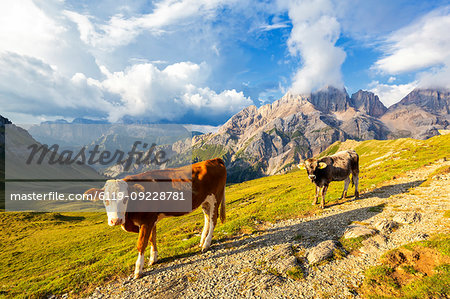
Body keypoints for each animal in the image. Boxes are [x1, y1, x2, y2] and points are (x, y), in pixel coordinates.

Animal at [84, 159, 227, 278]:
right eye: (105, 200)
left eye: (125, 199)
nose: (115, 220)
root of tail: (214, 159)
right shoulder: (151, 219)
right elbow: (152, 238)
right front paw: (153, 258)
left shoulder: (147, 220)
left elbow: (141, 244)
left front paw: (138, 270)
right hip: (205, 201)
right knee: (207, 218)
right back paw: (202, 241)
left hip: (216, 197)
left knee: (213, 220)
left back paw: (206, 244)